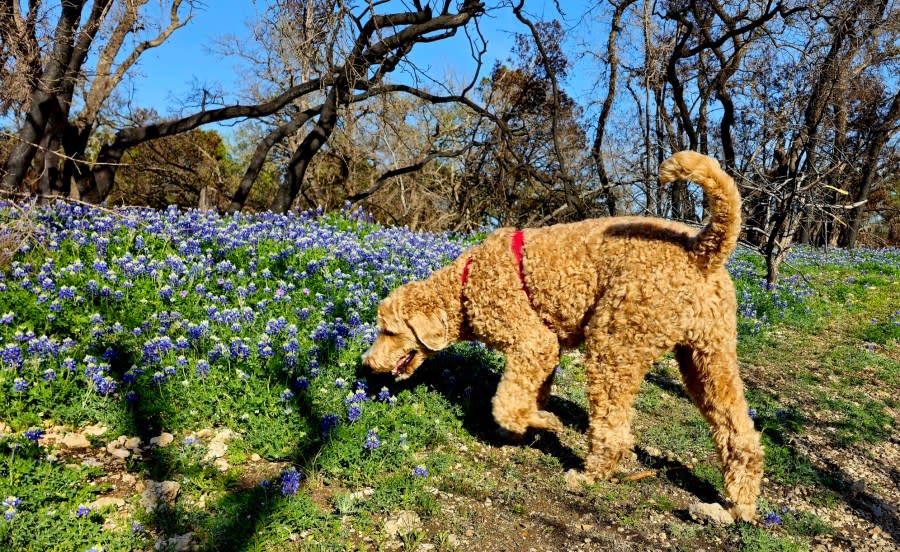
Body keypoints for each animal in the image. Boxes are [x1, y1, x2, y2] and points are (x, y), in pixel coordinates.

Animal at [362, 151, 764, 520]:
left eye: (389, 330)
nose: (367, 363)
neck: (464, 285)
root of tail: (702, 249)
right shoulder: (546, 353)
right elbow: (528, 396)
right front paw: (528, 426)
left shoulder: (532, 343)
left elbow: (506, 404)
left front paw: (540, 423)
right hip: (708, 356)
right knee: (740, 435)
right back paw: (740, 504)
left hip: (614, 345)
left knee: (613, 431)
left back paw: (589, 475)